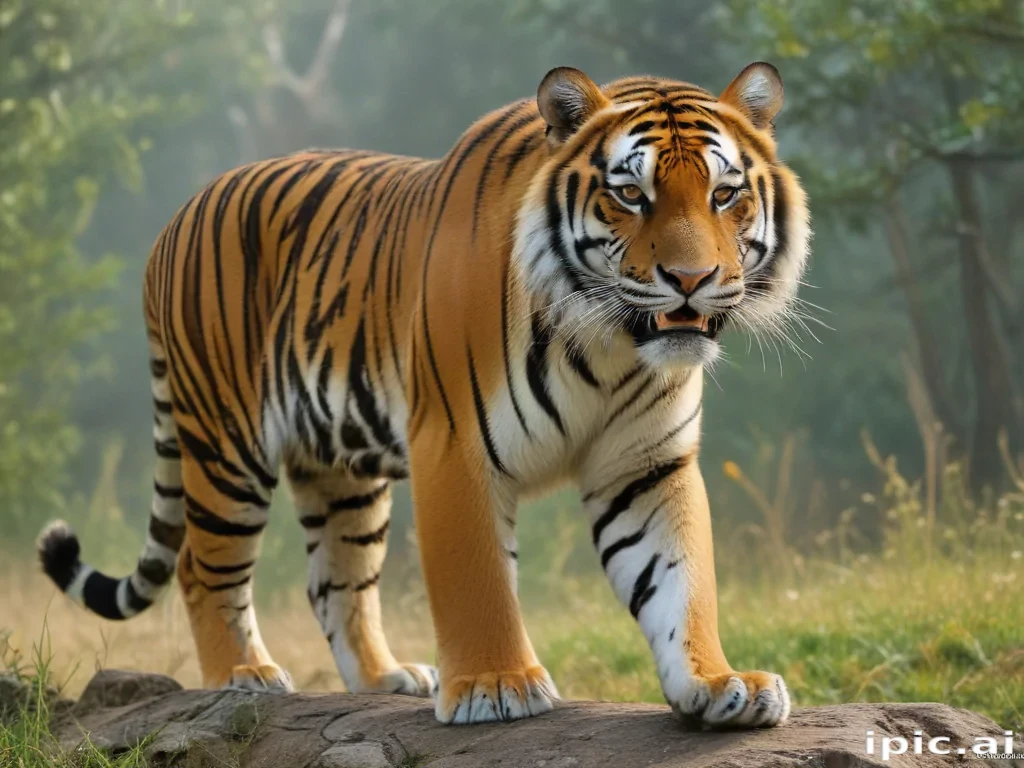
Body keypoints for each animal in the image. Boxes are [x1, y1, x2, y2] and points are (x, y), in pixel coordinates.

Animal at [37, 62, 810, 728]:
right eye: (630, 195)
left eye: (724, 194)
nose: (692, 279)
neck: (607, 345)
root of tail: (175, 219)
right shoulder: (456, 442)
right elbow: (477, 580)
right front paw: (499, 687)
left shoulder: (646, 464)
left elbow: (680, 580)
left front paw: (719, 683)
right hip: (226, 442)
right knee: (203, 568)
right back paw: (242, 675)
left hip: (339, 470)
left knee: (336, 581)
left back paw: (386, 678)